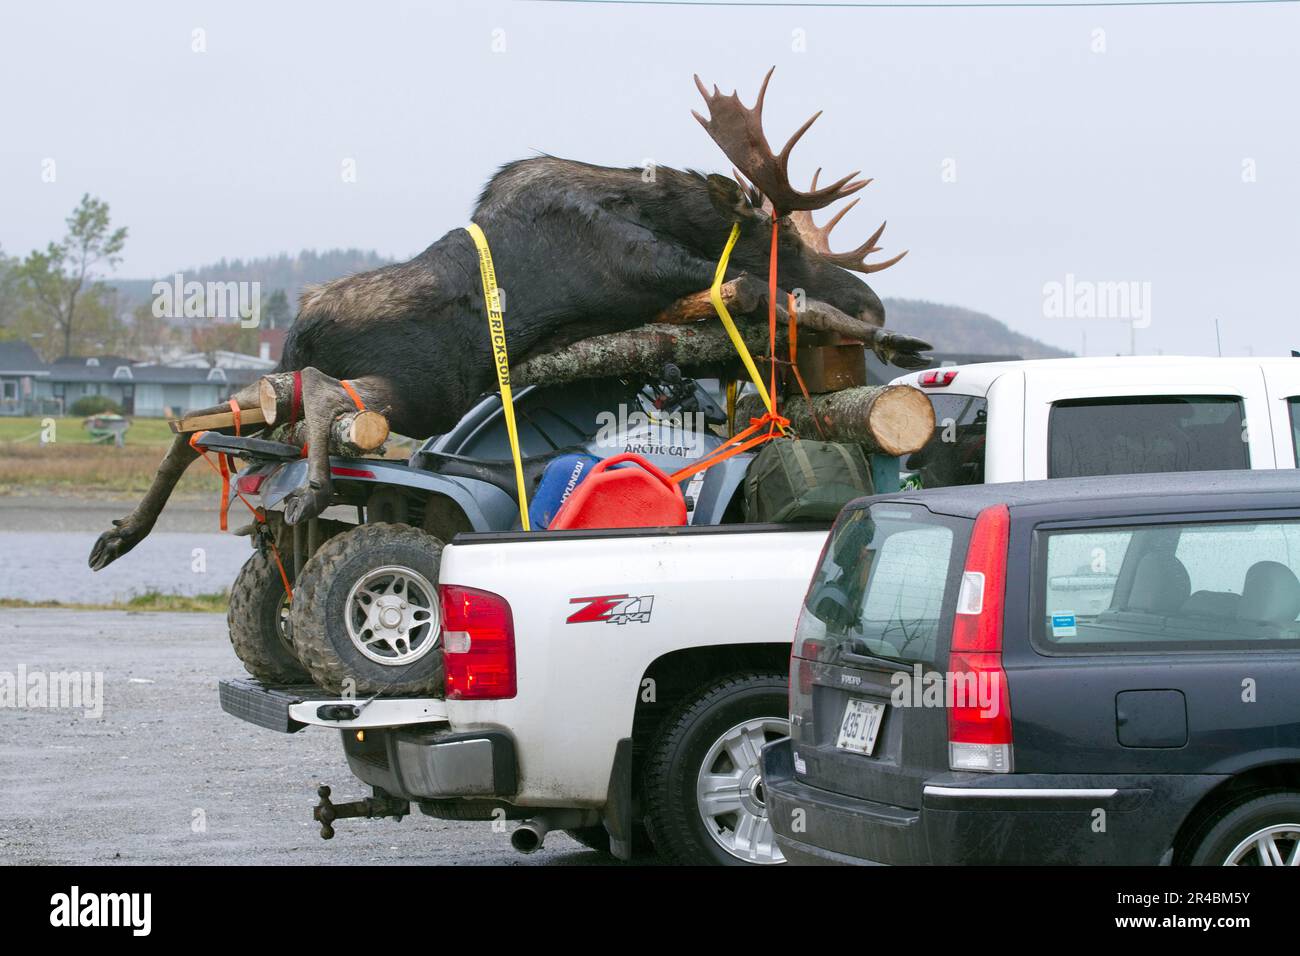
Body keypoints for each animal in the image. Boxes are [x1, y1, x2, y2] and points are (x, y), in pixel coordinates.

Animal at [86, 70, 930, 580]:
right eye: (775, 232)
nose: (871, 299)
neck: (646, 205)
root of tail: (301, 329)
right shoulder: (655, 270)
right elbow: (764, 294)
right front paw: (890, 338)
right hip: (414, 387)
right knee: (320, 396)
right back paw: (307, 489)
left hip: (281, 385)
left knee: (198, 424)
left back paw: (119, 533)